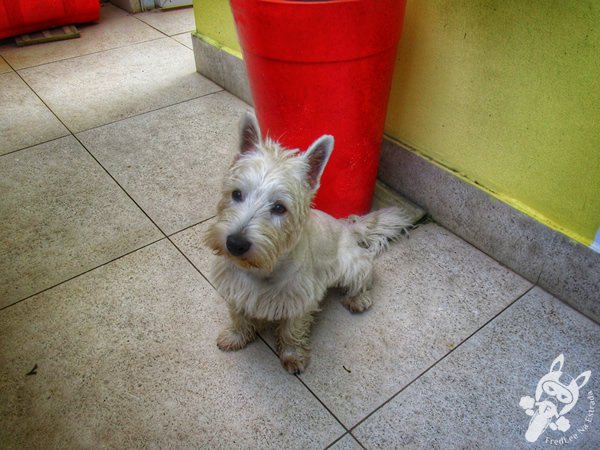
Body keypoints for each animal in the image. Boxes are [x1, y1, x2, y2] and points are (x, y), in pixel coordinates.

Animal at [206, 112, 412, 372]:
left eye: (279, 208)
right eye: (236, 194)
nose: (235, 243)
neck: (263, 269)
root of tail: (347, 228)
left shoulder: (301, 300)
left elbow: (292, 330)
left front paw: (292, 356)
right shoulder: (234, 289)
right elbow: (238, 317)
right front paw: (235, 337)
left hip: (351, 266)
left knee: (364, 279)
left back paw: (358, 299)